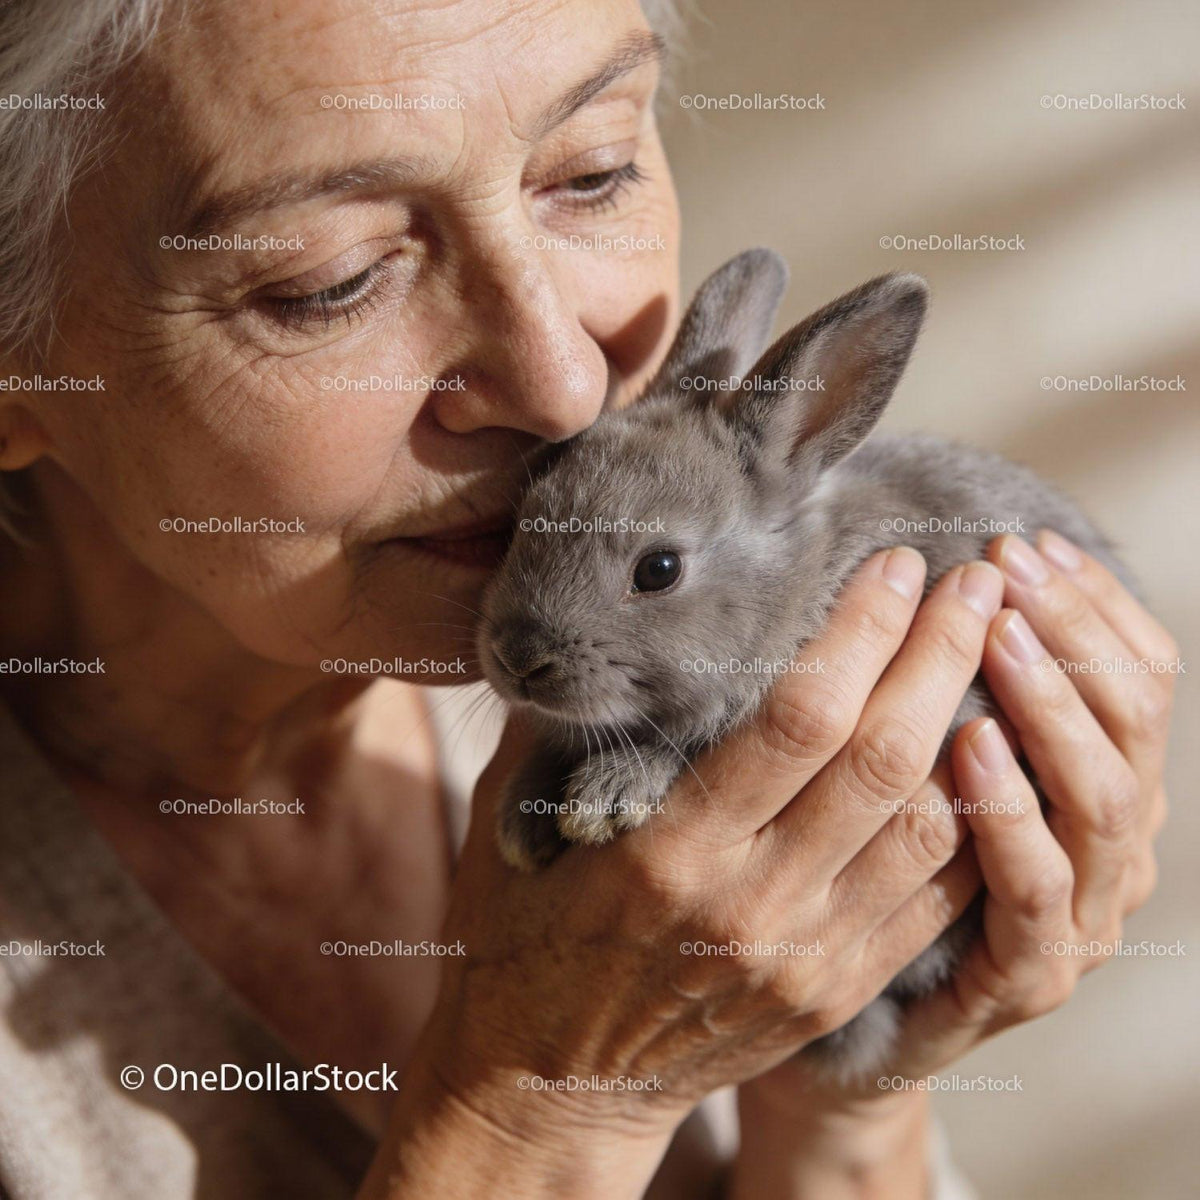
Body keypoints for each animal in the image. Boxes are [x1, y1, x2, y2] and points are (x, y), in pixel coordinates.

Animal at [477, 248, 1134, 1078]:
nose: (516, 659)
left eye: (658, 569)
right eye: (526, 516)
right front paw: (521, 824)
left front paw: (605, 800)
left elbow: (678, 746)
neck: (794, 588)